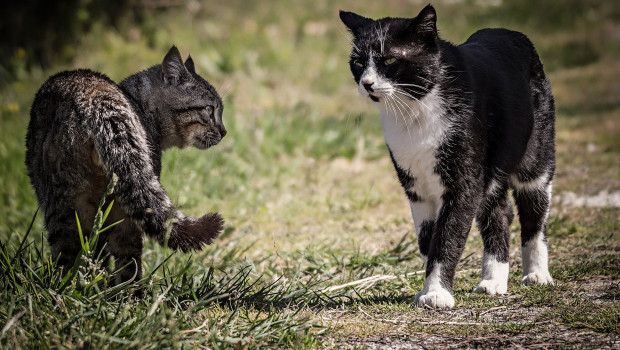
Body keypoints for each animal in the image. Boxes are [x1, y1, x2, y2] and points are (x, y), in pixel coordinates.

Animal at [342, 4, 556, 308]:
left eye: (390, 59)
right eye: (358, 63)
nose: (367, 83)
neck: (415, 111)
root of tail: (509, 32)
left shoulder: (463, 183)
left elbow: (447, 237)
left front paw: (436, 293)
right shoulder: (417, 188)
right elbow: (427, 239)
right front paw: (427, 288)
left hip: (536, 157)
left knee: (534, 211)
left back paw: (537, 274)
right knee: (500, 212)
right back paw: (494, 281)